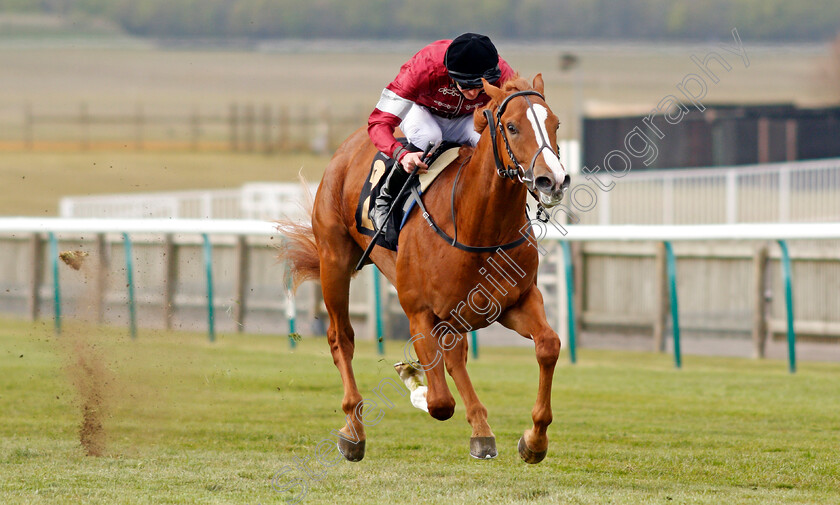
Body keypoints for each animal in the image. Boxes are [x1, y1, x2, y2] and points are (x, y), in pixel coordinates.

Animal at [282, 73, 572, 462]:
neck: (477, 226)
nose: (551, 180)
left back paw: (481, 429)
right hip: (335, 261)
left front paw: (534, 440)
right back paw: (353, 430)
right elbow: (439, 402)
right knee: (341, 337)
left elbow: (548, 345)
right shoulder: (419, 311)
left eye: (555, 124)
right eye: (512, 127)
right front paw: (413, 379)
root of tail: (349, 145)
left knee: (455, 358)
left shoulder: (515, 302)